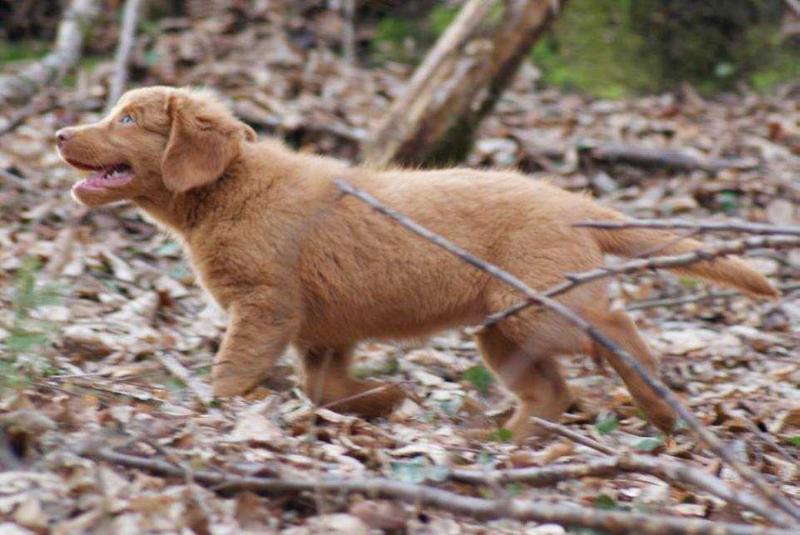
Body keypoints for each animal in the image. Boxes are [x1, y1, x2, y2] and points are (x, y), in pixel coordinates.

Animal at [54, 87, 776, 440]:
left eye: (126, 118)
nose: (59, 133)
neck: (233, 188)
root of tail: (575, 205)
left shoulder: (266, 303)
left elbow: (231, 374)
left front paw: (219, 408)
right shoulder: (321, 328)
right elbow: (324, 388)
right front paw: (384, 398)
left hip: (540, 308)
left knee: (617, 328)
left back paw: (659, 408)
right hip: (502, 328)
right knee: (551, 392)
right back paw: (497, 443)